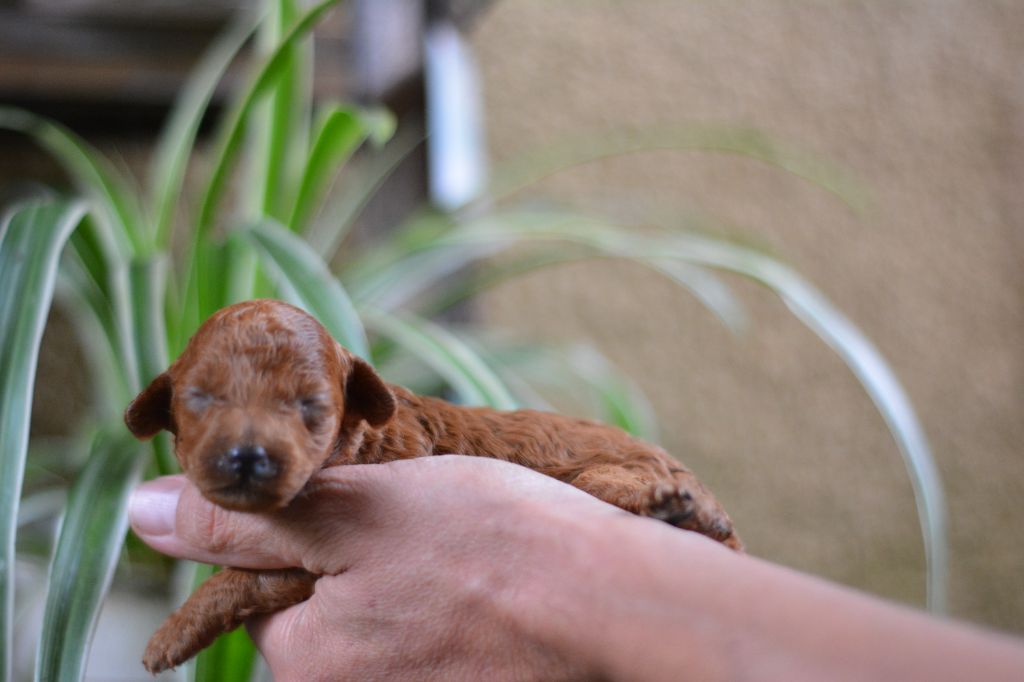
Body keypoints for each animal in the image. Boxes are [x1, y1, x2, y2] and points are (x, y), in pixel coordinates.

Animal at [123, 301, 741, 671]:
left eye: (310, 407)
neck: (364, 439)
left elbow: (235, 581)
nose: (247, 457)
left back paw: (672, 508)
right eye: (201, 399)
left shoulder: (300, 564)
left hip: (610, 474)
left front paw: (167, 636)